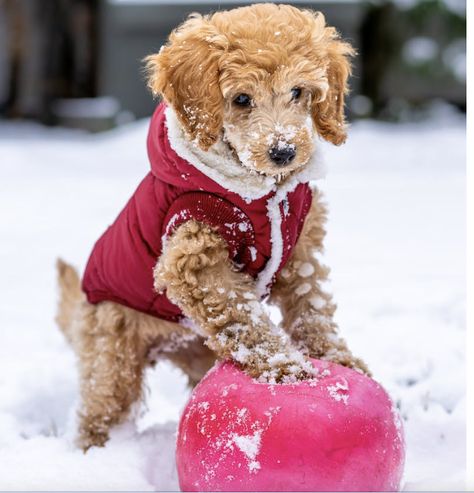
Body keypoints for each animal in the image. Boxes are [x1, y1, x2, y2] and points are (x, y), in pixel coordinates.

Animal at [56, 2, 370, 450]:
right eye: (241, 99)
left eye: (298, 92)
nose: (283, 152)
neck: (264, 194)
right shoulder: (194, 255)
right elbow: (243, 316)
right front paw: (286, 368)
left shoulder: (300, 250)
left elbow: (311, 307)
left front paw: (336, 357)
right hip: (112, 350)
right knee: (103, 403)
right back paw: (93, 450)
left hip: (199, 352)